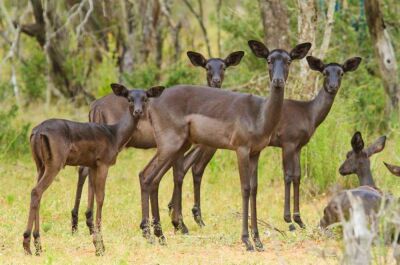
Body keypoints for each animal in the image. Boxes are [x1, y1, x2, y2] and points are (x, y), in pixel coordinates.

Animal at [22, 83, 164, 255]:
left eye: (145, 98)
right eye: (129, 98)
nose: (138, 111)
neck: (114, 134)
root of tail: (37, 131)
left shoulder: (93, 165)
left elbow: (94, 195)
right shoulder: (103, 164)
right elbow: (101, 198)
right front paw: (100, 246)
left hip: (40, 166)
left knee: (37, 193)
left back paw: (37, 246)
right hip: (54, 165)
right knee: (36, 191)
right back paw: (27, 244)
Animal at [70, 50, 244, 233]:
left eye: (223, 66)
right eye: (207, 67)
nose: (216, 81)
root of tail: (95, 106)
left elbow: (183, 173)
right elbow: (185, 172)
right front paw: (182, 222)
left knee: (84, 169)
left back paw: (78, 222)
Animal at [139, 40, 310, 251]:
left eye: (288, 60)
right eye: (269, 60)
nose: (278, 81)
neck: (260, 114)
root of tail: (151, 102)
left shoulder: (256, 153)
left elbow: (254, 189)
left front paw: (258, 240)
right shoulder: (241, 150)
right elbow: (245, 188)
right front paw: (247, 240)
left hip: (179, 146)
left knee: (154, 179)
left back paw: (159, 235)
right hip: (170, 145)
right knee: (146, 176)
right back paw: (152, 234)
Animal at [170, 55, 364, 229]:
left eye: (341, 72)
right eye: (325, 72)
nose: (332, 86)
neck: (309, 113)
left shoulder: (298, 147)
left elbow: (298, 176)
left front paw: (300, 220)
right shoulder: (288, 143)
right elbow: (288, 176)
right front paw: (289, 219)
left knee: (191, 167)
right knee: (186, 166)